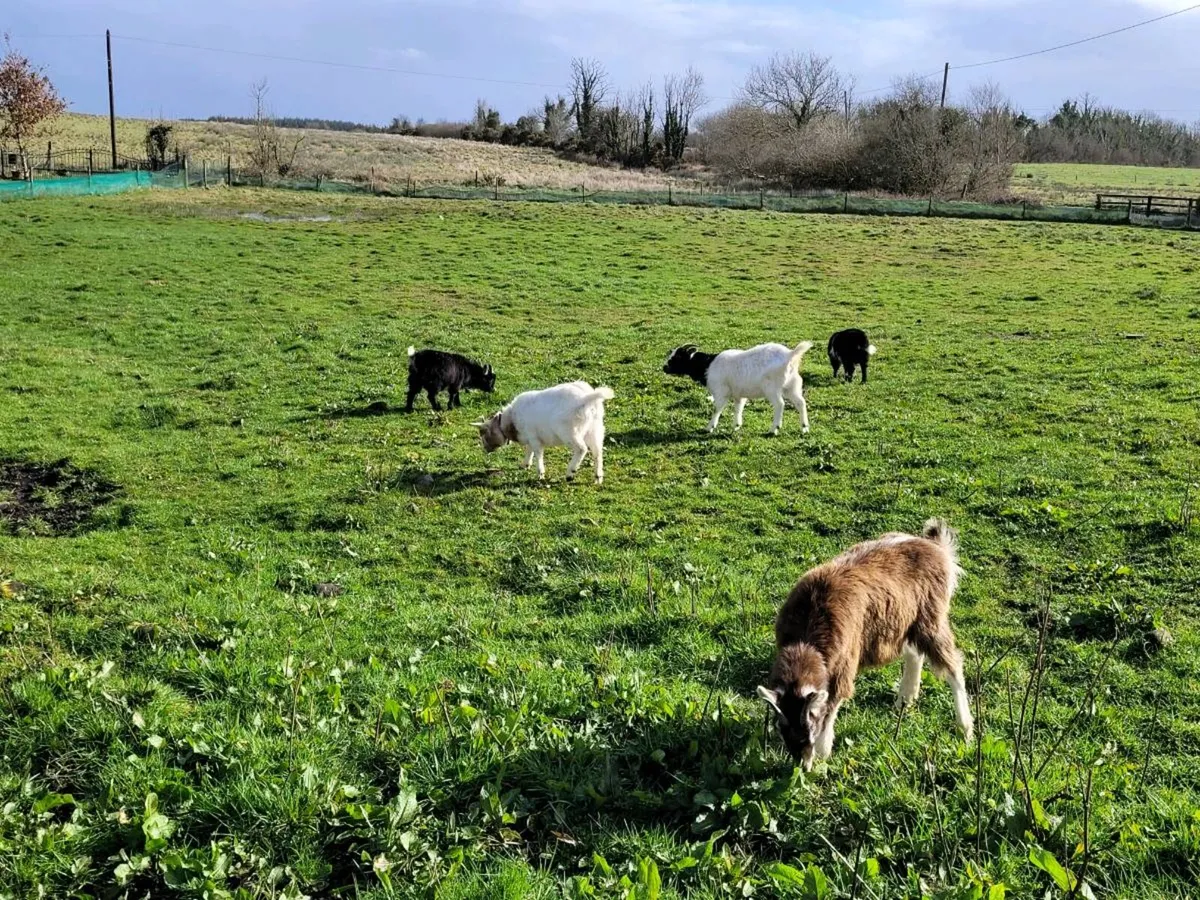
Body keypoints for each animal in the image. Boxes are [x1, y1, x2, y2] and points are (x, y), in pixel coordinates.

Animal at [473, 381, 614, 483]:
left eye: (484, 434)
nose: (486, 449)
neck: (511, 420)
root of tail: (587, 398)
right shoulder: (530, 438)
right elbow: (529, 450)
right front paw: (525, 465)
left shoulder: (534, 438)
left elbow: (537, 453)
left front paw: (540, 473)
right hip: (595, 429)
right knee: (597, 452)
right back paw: (598, 477)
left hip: (569, 432)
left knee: (581, 449)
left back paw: (570, 473)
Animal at [662, 341, 813, 435]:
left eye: (676, 357)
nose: (664, 368)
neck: (707, 365)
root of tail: (790, 355)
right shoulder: (738, 395)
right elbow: (738, 409)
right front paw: (736, 425)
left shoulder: (720, 392)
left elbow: (717, 409)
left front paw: (709, 427)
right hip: (792, 385)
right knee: (800, 403)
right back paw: (804, 428)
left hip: (772, 388)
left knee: (780, 404)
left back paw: (774, 429)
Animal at [757, 519, 973, 770]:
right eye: (782, 731)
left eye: (809, 729)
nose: (802, 766)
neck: (807, 638)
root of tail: (936, 548)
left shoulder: (843, 666)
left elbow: (833, 704)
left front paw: (822, 755)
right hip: (904, 621)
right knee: (915, 653)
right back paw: (905, 700)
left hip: (931, 618)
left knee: (953, 664)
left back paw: (965, 728)